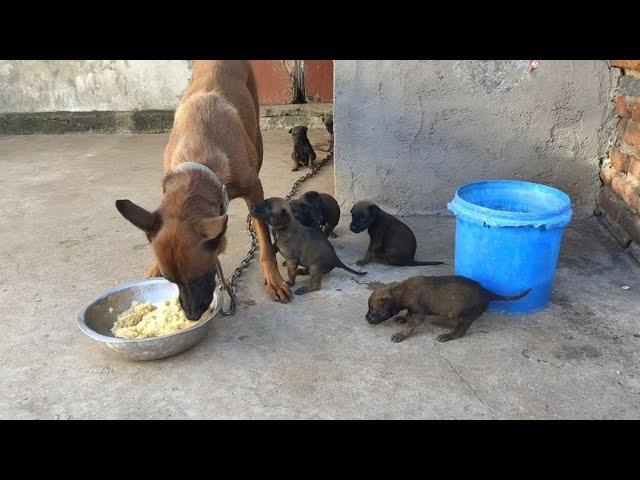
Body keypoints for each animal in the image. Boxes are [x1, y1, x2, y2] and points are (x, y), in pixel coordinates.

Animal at [116, 61, 292, 318]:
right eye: (170, 280)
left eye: (200, 274)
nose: (190, 315)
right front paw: (154, 267)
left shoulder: (254, 191)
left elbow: (265, 243)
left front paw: (274, 279)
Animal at [364, 276, 528, 344]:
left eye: (373, 311)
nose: (366, 318)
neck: (401, 291)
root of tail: (486, 292)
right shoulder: (413, 310)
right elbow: (408, 315)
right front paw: (402, 318)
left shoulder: (418, 314)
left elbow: (410, 325)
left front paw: (401, 334)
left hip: (466, 315)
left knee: (459, 330)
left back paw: (447, 335)